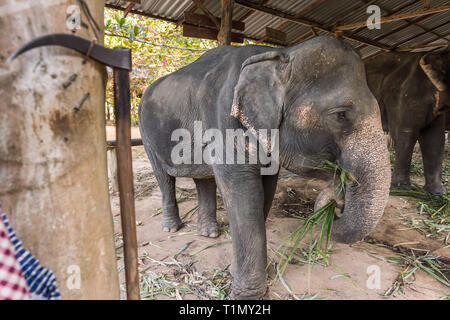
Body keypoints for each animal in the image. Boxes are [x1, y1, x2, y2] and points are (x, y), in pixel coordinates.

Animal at [139, 36, 392, 298]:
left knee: (203, 178)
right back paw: (171, 228)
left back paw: (208, 233)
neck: (280, 54)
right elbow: (242, 191)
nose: (338, 201)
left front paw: (237, 270)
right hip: (145, 133)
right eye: (341, 115)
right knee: (164, 178)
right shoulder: (223, 120)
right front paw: (247, 295)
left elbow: (267, 189)